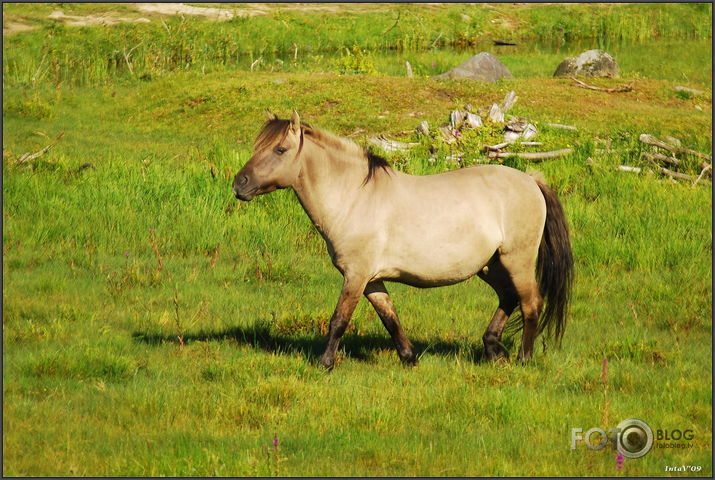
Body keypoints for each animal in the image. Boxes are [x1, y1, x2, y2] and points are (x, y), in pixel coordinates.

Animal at [235, 110, 576, 370]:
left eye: (280, 150)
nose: (239, 183)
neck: (354, 197)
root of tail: (530, 181)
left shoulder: (356, 276)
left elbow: (339, 320)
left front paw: (325, 363)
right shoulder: (370, 280)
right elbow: (390, 318)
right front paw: (410, 358)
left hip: (517, 260)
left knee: (530, 303)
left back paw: (523, 358)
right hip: (490, 266)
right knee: (508, 297)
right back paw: (492, 349)